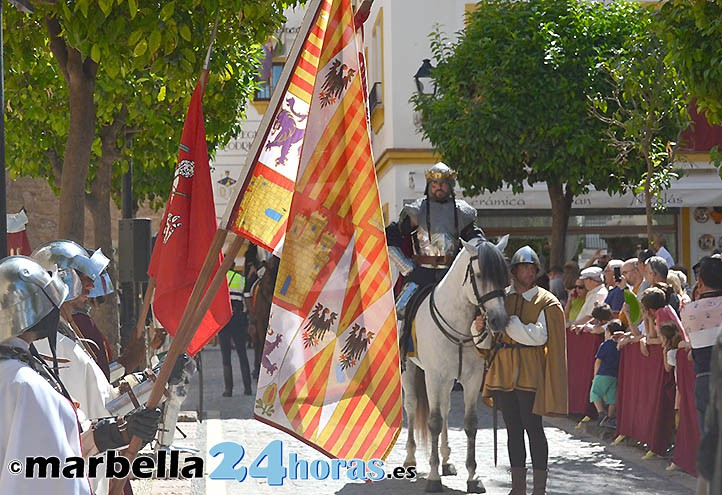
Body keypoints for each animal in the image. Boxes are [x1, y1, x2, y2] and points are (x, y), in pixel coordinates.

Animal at [400, 236, 506, 492]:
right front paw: (433, 477)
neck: (458, 325)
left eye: (503, 276)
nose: (499, 320)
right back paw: (410, 459)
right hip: (411, 370)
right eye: (479, 275)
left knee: (446, 409)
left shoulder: (471, 379)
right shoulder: (434, 376)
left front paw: (473, 477)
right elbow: (434, 422)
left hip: (448, 380)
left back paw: (447, 460)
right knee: (412, 405)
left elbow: (470, 423)